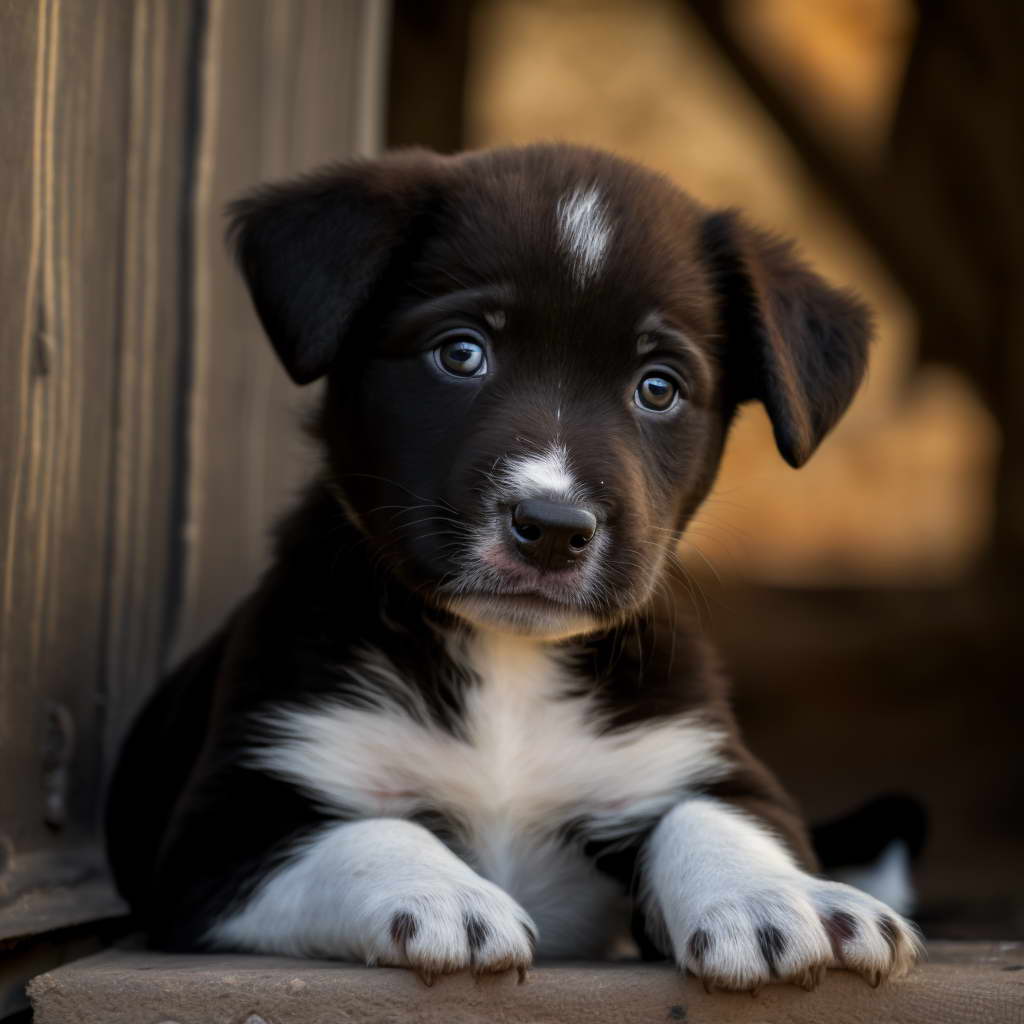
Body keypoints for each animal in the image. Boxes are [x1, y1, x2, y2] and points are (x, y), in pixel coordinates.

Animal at [108, 144, 925, 991]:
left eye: (658, 388)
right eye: (462, 353)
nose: (555, 529)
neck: (507, 658)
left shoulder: (698, 758)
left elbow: (711, 813)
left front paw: (781, 898)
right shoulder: (222, 835)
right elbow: (367, 832)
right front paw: (443, 895)